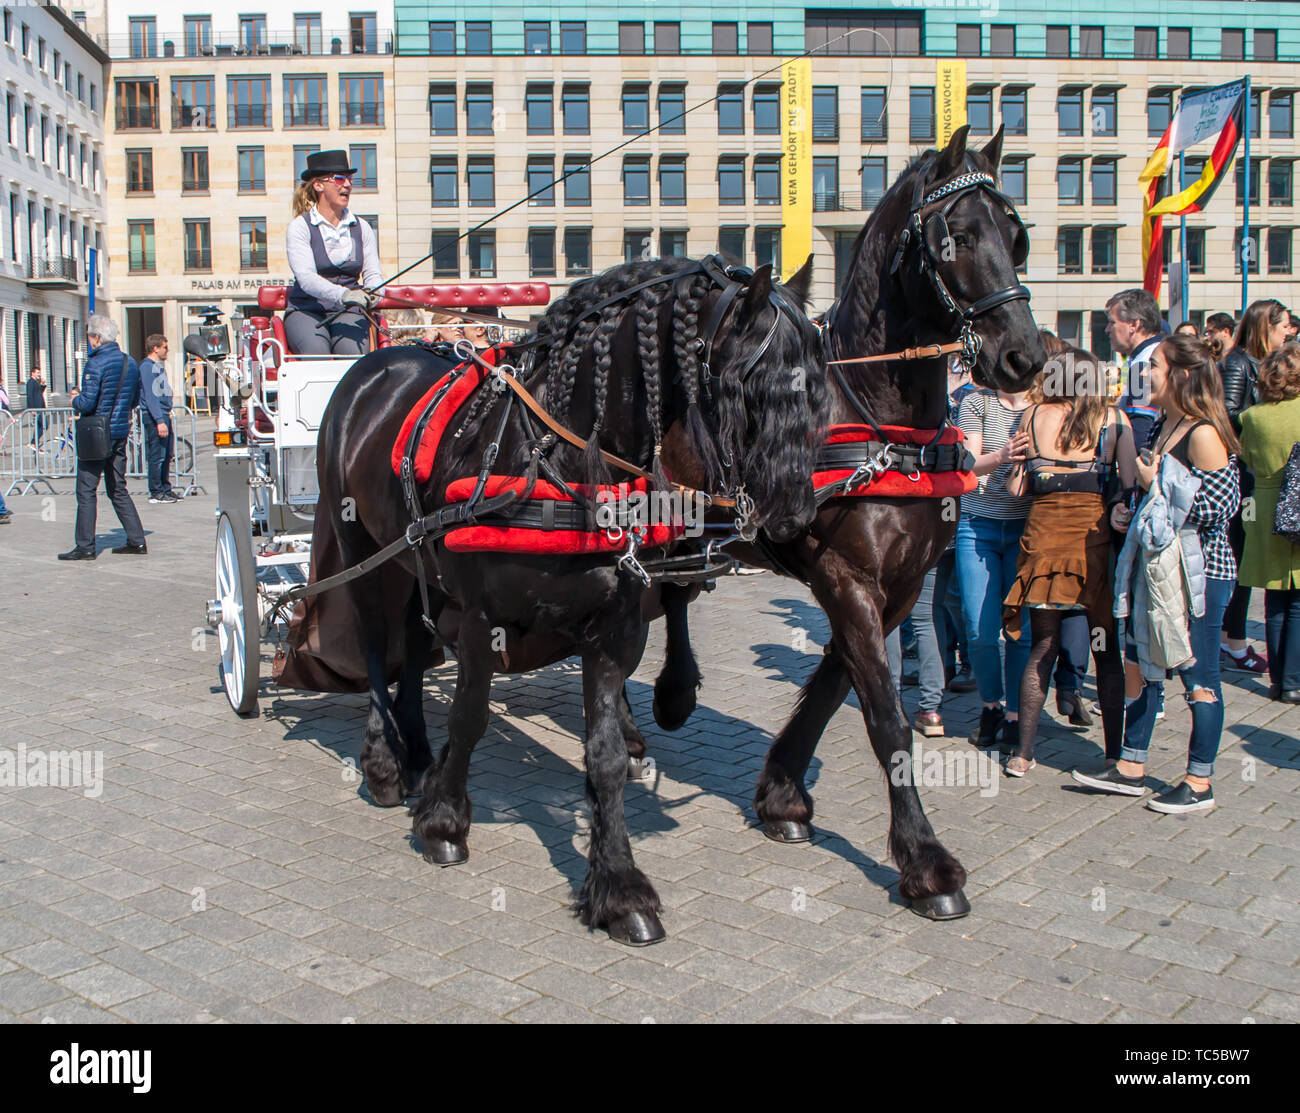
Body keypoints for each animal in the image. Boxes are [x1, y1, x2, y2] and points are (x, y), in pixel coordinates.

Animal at [297, 256, 821, 941]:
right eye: (749, 381)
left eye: (817, 383)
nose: (796, 515)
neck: (556, 462)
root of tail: (376, 363)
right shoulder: (481, 620)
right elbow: (470, 717)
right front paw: (443, 821)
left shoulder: (612, 627)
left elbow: (604, 754)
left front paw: (619, 886)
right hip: (361, 548)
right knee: (374, 645)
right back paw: (385, 762)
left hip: (413, 560)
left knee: (410, 645)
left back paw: (415, 751)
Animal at [655, 126, 1040, 915]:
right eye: (955, 238)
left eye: (1016, 236)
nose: (1026, 355)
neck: (874, 414)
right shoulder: (845, 575)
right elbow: (885, 712)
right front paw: (926, 862)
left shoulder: (897, 586)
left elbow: (837, 681)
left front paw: (781, 794)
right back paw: (669, 693)